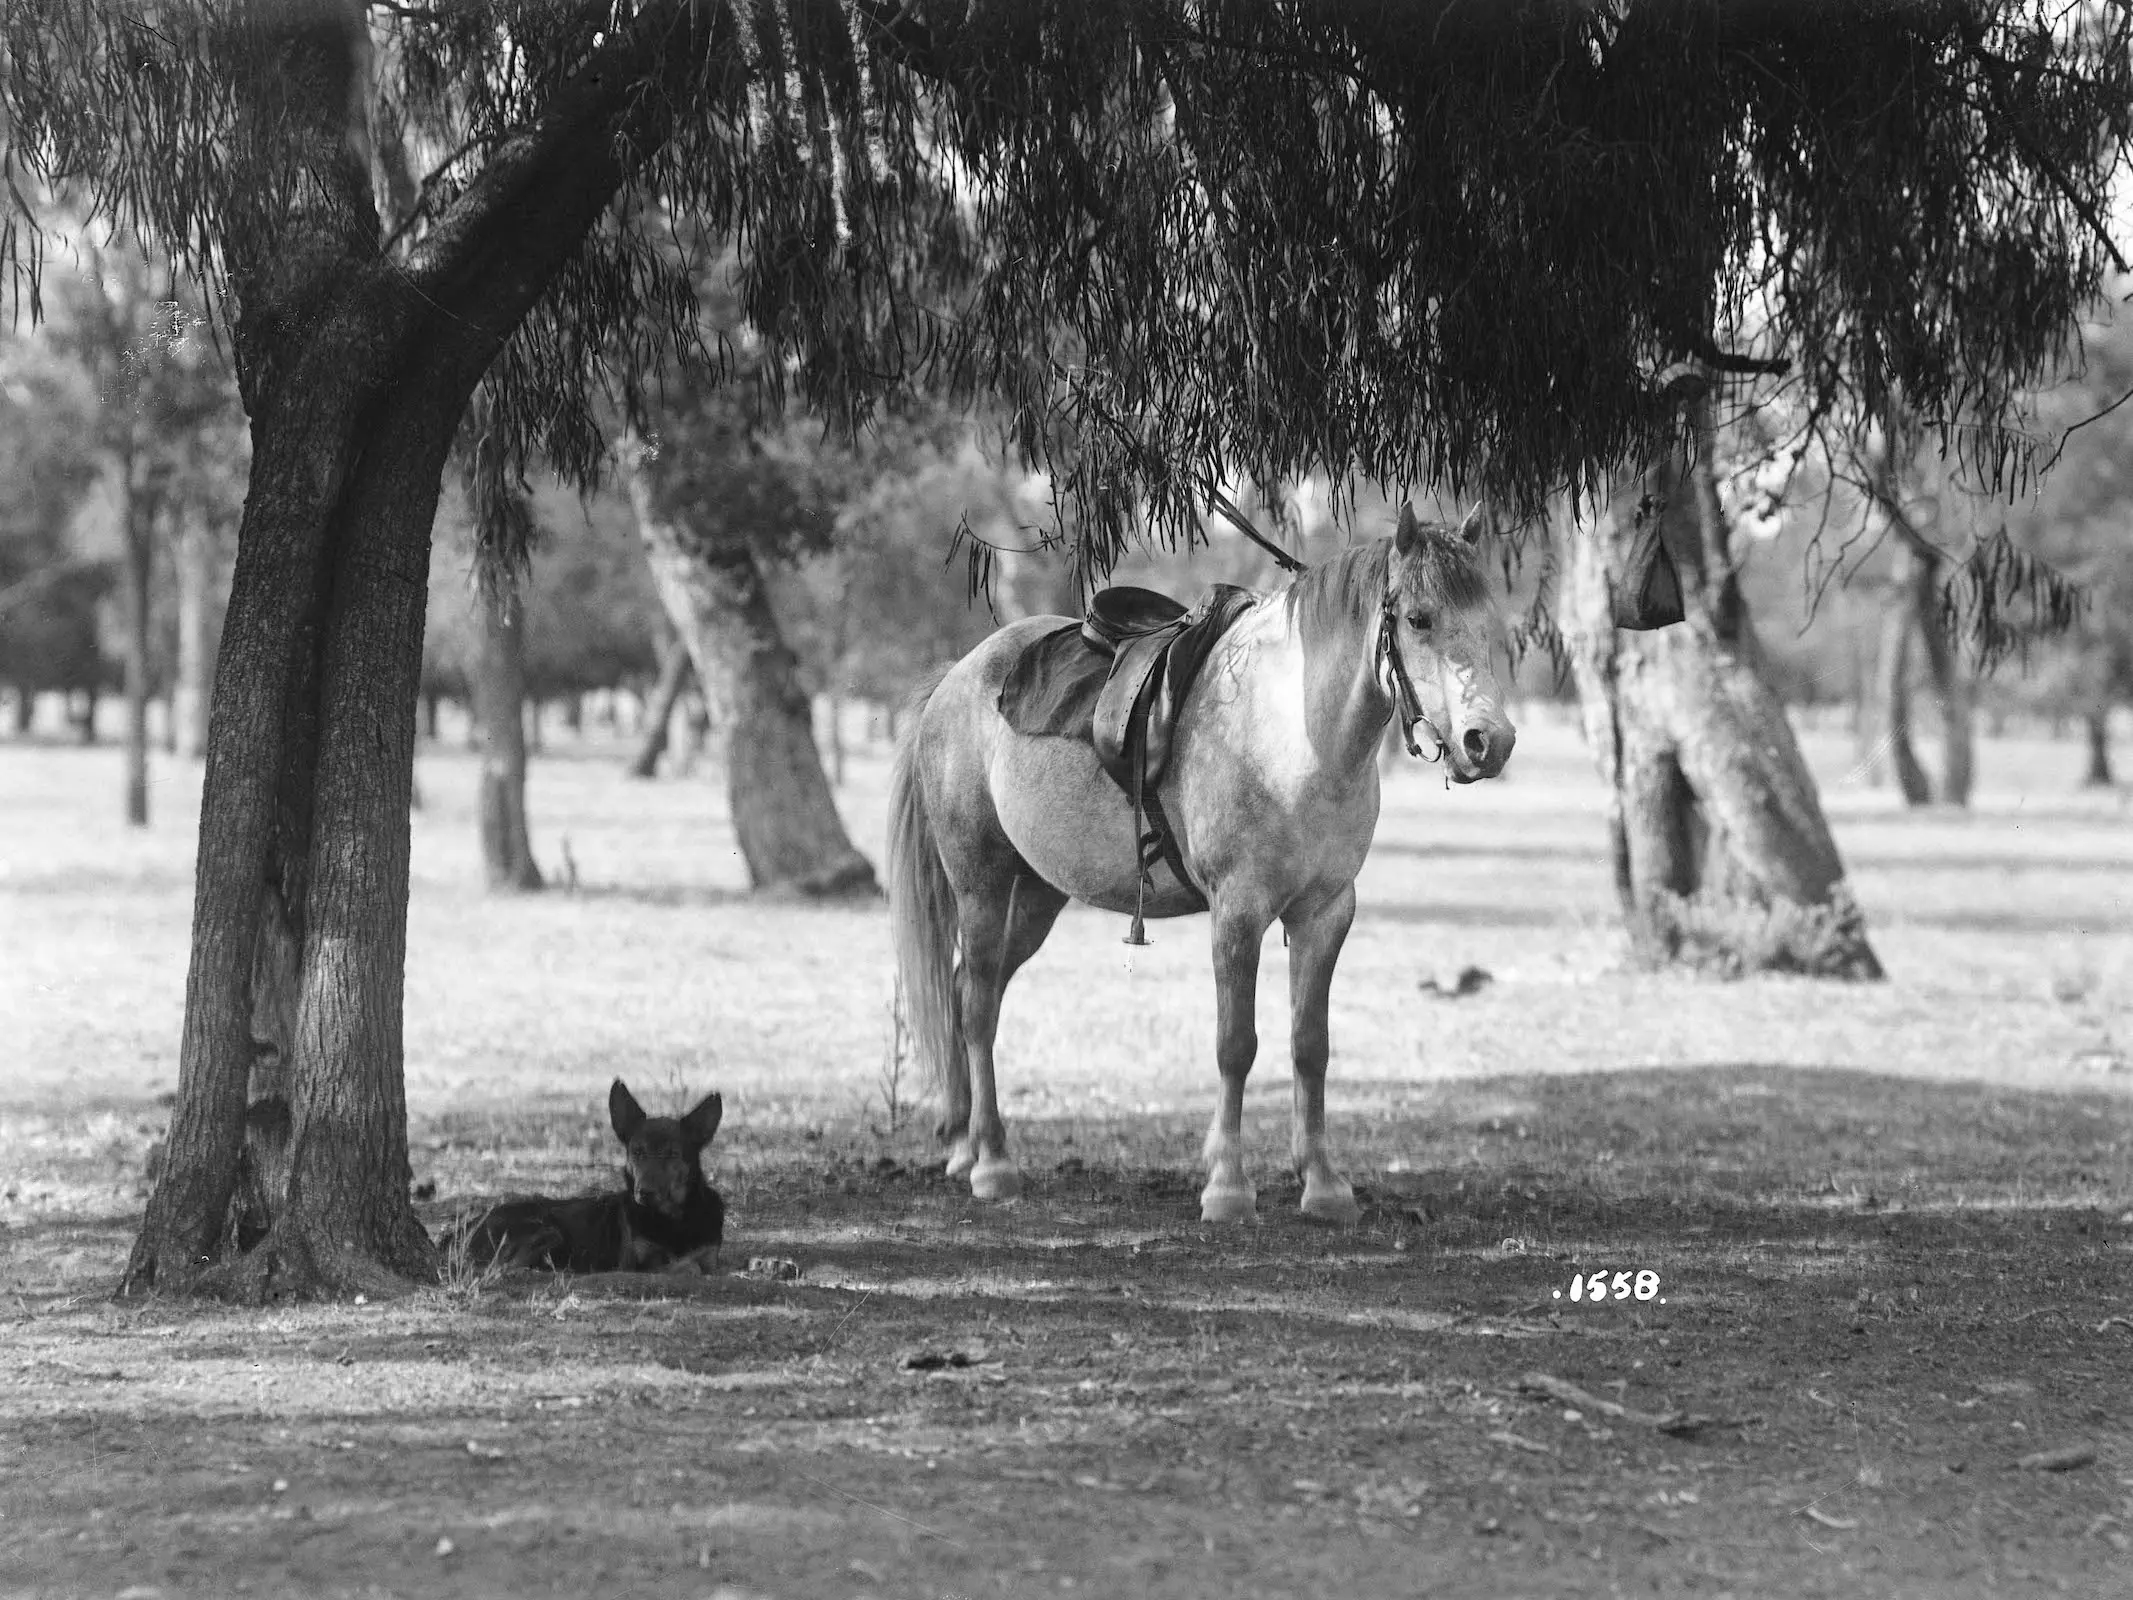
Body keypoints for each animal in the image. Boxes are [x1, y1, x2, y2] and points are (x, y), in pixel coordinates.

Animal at [456, 1079, 725, 1280]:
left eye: (672, 1154)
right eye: (637, 1151)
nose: (644, 1192)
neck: (673, 1220)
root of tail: (460, 1230)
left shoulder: (710, 1258)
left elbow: (700, 1265)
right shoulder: (634, 1263)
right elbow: (685, 1266)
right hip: (548, 1230)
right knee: (502, 1267)